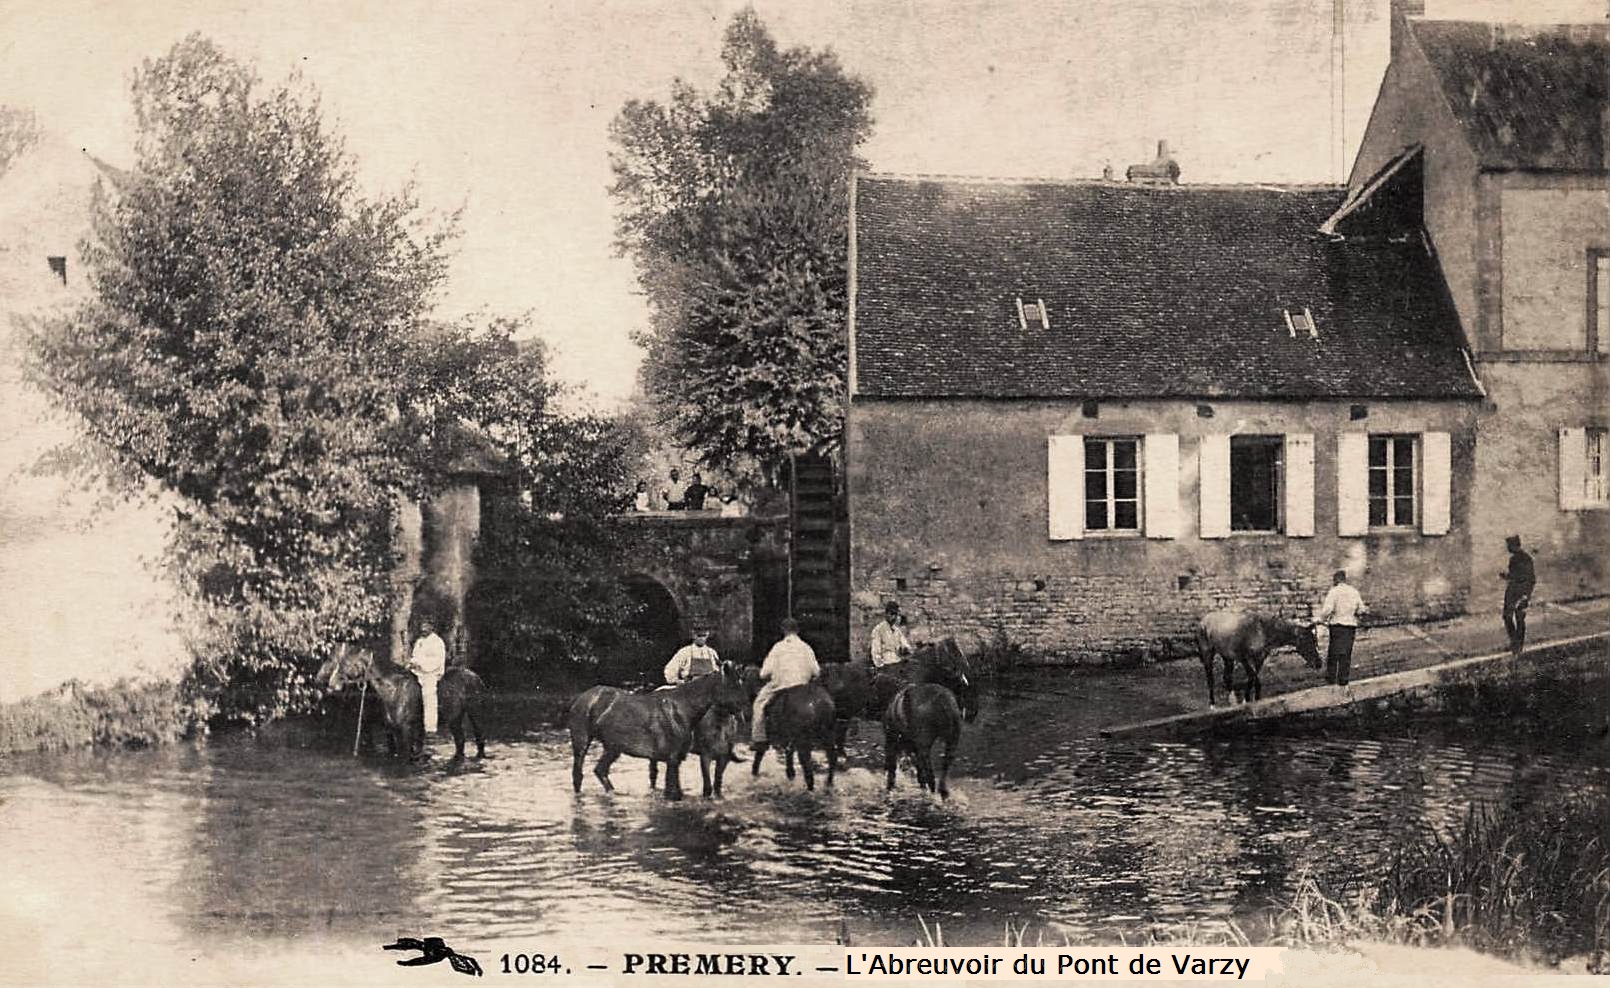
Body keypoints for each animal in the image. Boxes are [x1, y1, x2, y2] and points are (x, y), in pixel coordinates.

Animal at [317, 646, 486, 762]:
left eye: (347, 664)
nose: (331, 684)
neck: (394, 689)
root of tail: (475, 677)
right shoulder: (392, 730)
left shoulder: (405, 731)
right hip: (455, 720)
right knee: (460, 740)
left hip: (475, 715)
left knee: (478, 736)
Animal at [566, 662, 747, 801]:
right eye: (732, 685)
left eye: (741, 683)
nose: (743, 711)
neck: (681, 708)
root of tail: (583, 697)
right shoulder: (673, 759)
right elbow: (671, 793)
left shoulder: (677, 759)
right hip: (582, 742)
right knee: (578, 775)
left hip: (613, 747)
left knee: (600, 770)